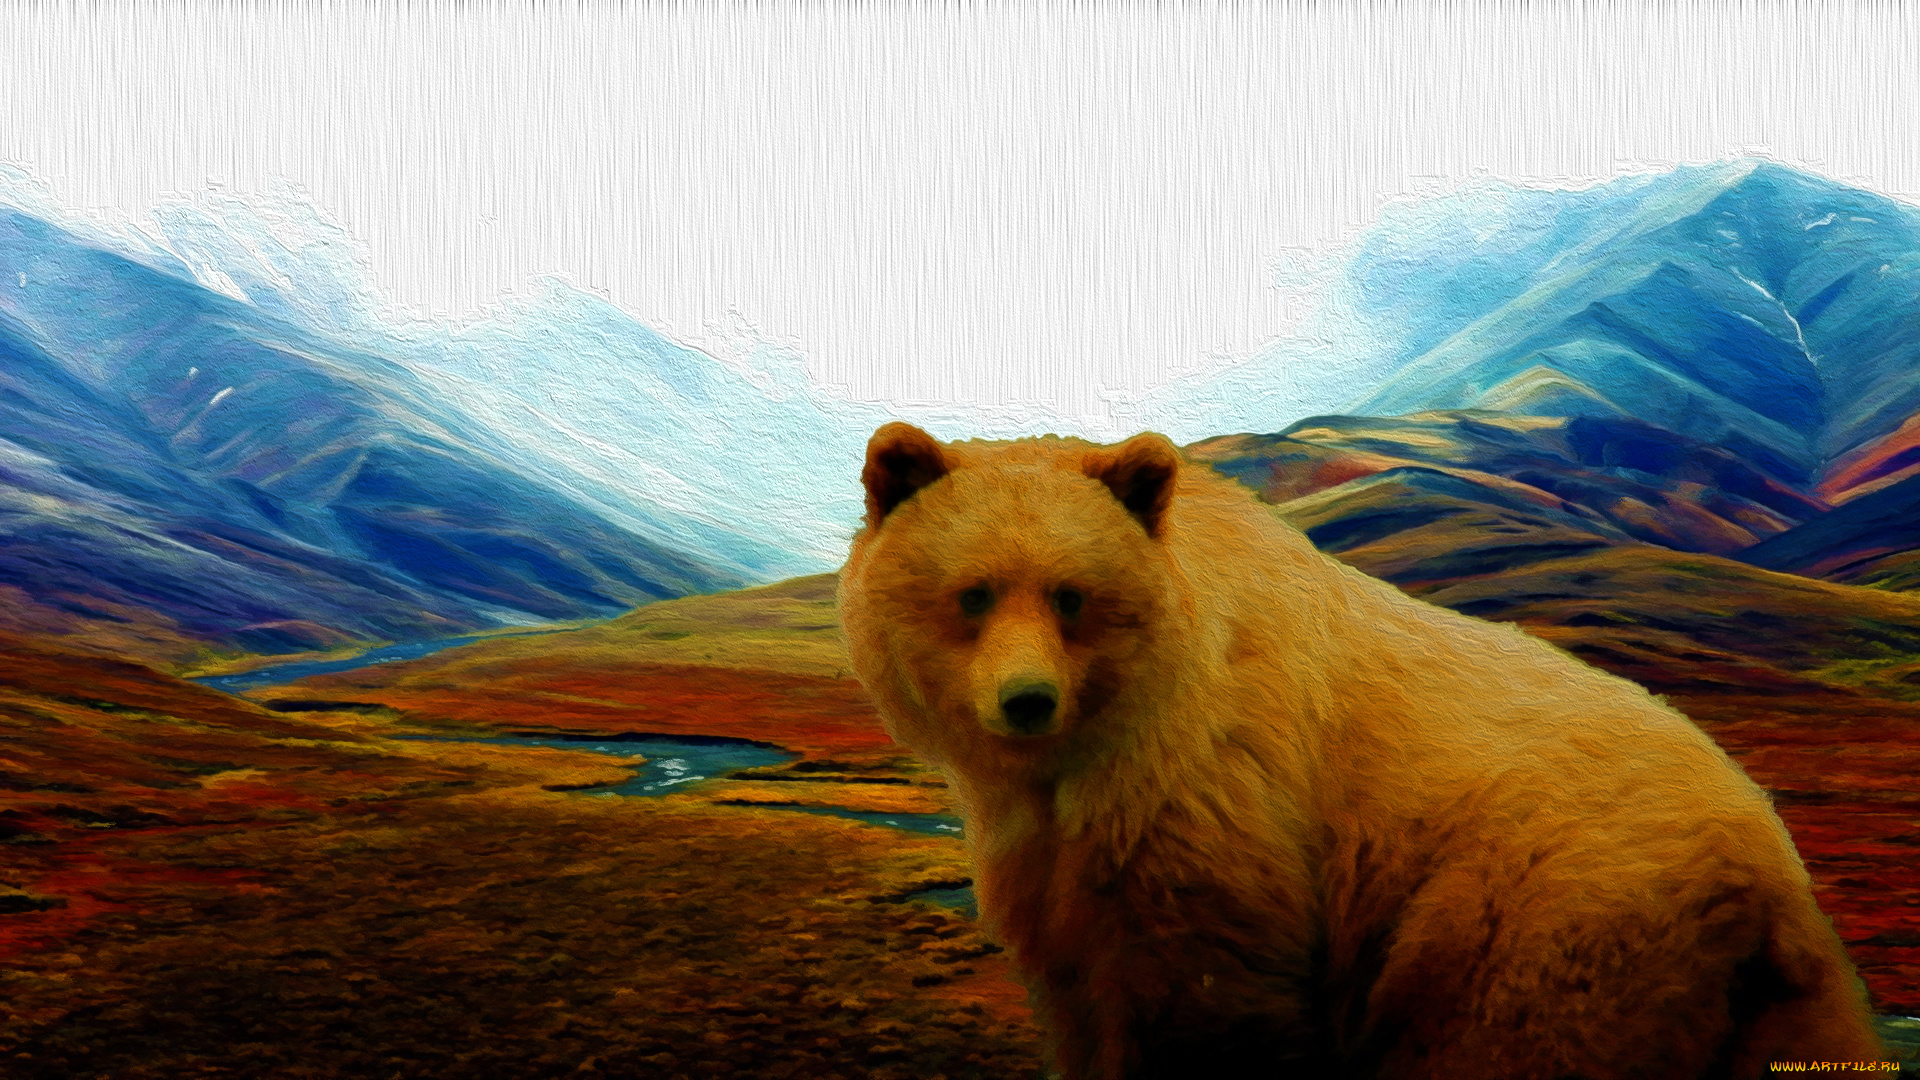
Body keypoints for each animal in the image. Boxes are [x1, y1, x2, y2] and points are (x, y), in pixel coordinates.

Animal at [836, 422, 1884, 1080]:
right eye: (973, 593)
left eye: (1070, 595)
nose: (1026, 700)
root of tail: (1775, 865)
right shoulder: (1054, 863)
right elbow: (1078, 991)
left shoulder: (1215, 802)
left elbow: (1200, 1008)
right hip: (1754, 1004)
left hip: (1537, 921)